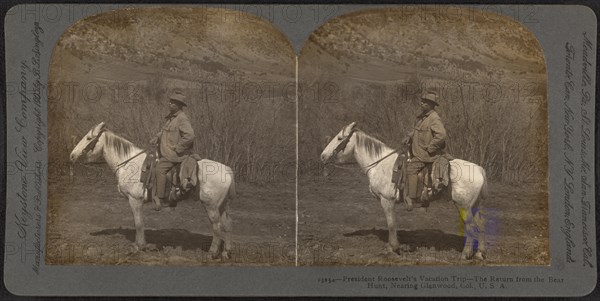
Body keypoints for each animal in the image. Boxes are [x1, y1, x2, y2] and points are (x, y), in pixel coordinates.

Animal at [71, 122, 237, 258]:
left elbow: (138, 223)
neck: (128, 164)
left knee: (217, 227)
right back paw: (226, 252)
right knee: (227, 224)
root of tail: (227, 170)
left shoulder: (135, 200)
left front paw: (138, 247)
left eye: (88, 138)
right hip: (222, 205)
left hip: (211, 206)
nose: (72, 155)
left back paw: (212, 252)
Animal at [322, 121, 486, 258]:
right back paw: (479, 253)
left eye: (339, 138)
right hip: (474, 205)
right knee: (480, 225)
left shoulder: (386, 200)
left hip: (464, 206)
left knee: (471, 227)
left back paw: (465, 254)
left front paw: (393, 248)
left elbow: (391, 224)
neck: (379, 164)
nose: (323, 156)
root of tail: (479, 169)